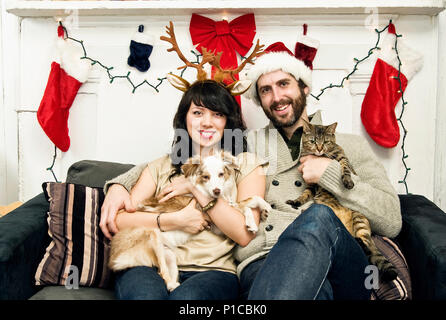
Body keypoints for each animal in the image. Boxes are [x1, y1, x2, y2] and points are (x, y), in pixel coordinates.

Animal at [110, 151, 270, 292]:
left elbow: (248, 201)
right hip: (152, 237)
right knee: (162, 272)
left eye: (221, 174)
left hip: (170, 256)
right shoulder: (206, 213)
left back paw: (174, 285)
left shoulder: (217, 225)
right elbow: (245, 204)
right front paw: (253, 220)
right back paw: (171, 284)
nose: (216, 191)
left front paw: (263, 210)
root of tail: (116, 257)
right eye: (206, 176)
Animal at [288, 119, 398, 280]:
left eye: (326, 142)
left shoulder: (343, 159)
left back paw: (360, 241)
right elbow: (304, 194)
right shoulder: (311, 185)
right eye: (313, 141)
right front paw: (296, 201)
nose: (319, 148)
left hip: (359, 220)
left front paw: (348, 181)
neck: (320, 156)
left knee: (367, 245)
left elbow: (345, 169)